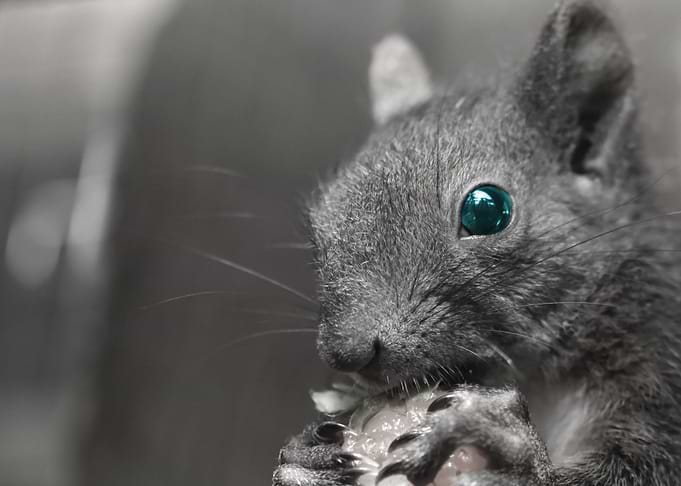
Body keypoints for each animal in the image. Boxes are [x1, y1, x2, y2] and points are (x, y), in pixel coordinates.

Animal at [272, 1, 681, 485]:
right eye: (319, 218)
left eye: (486, 210)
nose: (345, 351)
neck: (538, 377)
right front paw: (304, 463)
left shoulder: (663, 369)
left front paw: (505, 441)